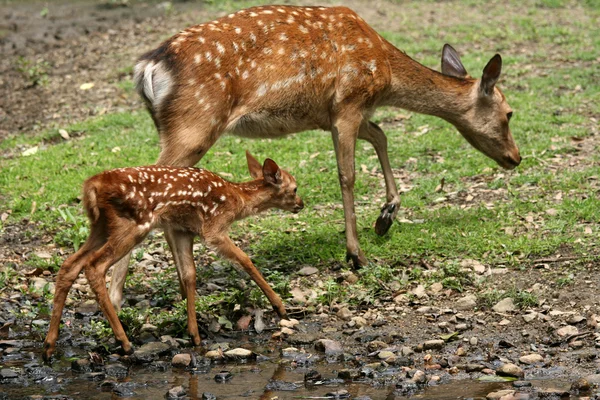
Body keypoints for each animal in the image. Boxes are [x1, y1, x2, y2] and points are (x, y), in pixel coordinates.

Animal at [42, 152, 302, 360]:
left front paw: (194, 334)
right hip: (133, 222)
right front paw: (280, 307)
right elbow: (245, 259)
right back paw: (124, 342)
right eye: (295, 188)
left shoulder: (181, 230)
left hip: (100, 225)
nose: (301, 203)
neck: (237, 199)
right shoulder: (213, 228)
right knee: (95, 265)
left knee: (70, 264)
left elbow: (189, 274)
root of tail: (92, 185)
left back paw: (49, 345)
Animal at [105, 5, 516, 310]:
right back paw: (116, 295)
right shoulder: (349, 102)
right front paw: (356, 253)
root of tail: (147, 69)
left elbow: (381, 135)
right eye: (509, 113)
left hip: (178, 128)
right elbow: (347, 175)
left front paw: (386, 216)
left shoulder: (331, 115)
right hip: (194, 123)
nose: (516, 157)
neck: (384, 73)